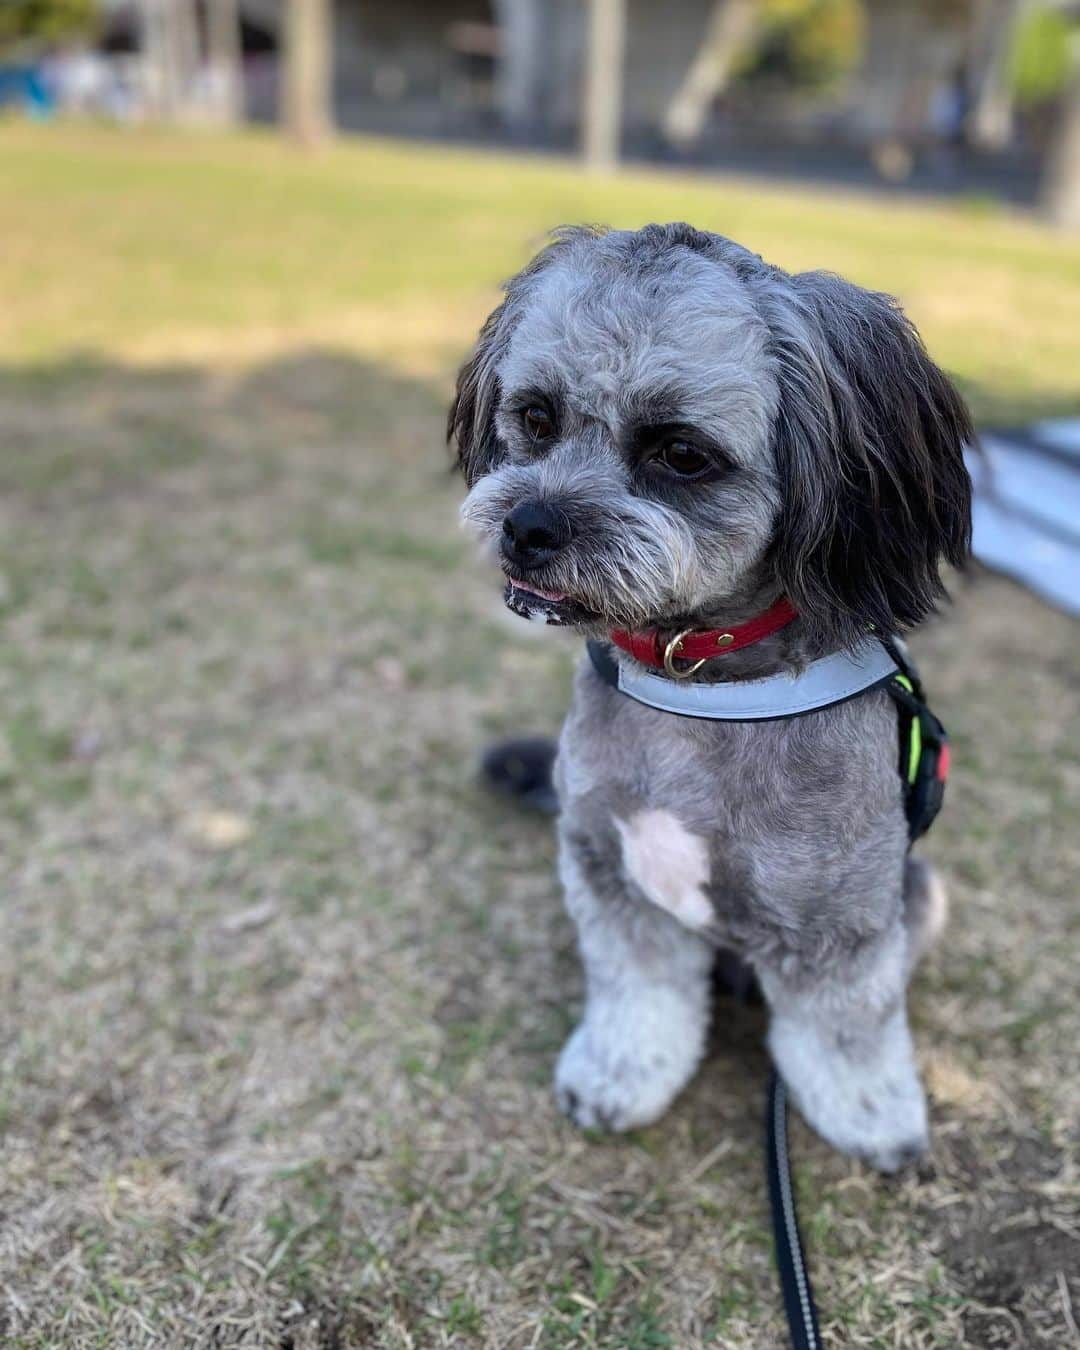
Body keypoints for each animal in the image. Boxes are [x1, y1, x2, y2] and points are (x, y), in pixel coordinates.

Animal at [450, 221, 972, 1171]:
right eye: (536, 417)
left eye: (682, 454)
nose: (527, 527)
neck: (695, 684)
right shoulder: (611, 875)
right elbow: (641, 995)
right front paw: (619, 1074)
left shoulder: (841, 923)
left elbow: (847, 1030)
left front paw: (873, 1116)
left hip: (920, 891)